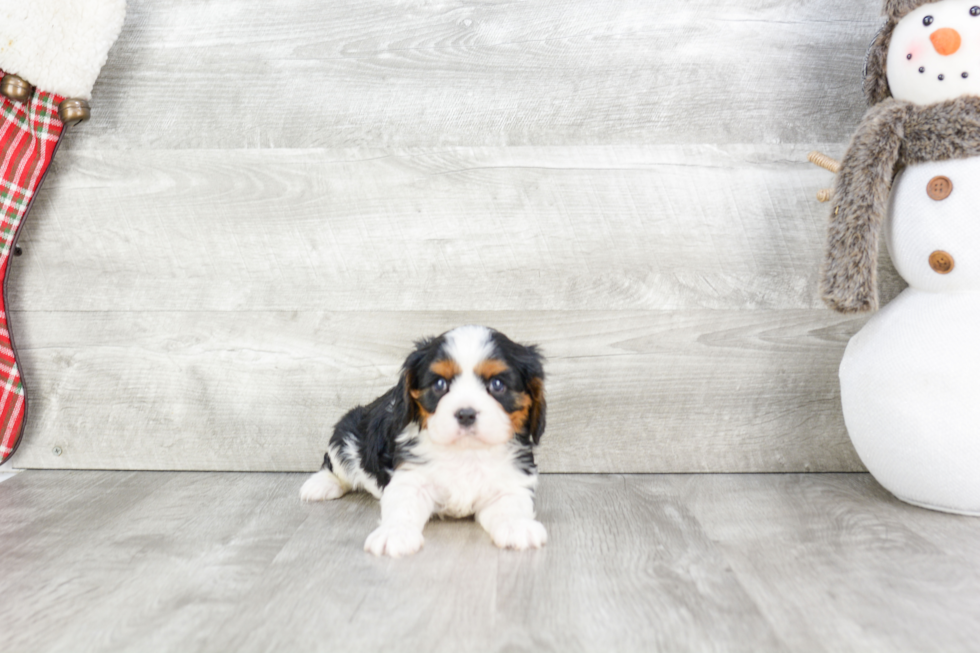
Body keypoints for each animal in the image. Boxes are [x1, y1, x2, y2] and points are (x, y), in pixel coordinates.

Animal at [298, 324, 548, 556]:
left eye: (497, 385)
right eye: (439, 384)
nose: (466, 414)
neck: (465, 452)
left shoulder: (510, 481)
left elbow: (511, 505)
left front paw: (518, 526)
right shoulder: (410, 477)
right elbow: (403, 506)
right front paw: (395, 532)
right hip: (348, 432)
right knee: (336, 463)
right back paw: (322, 484)